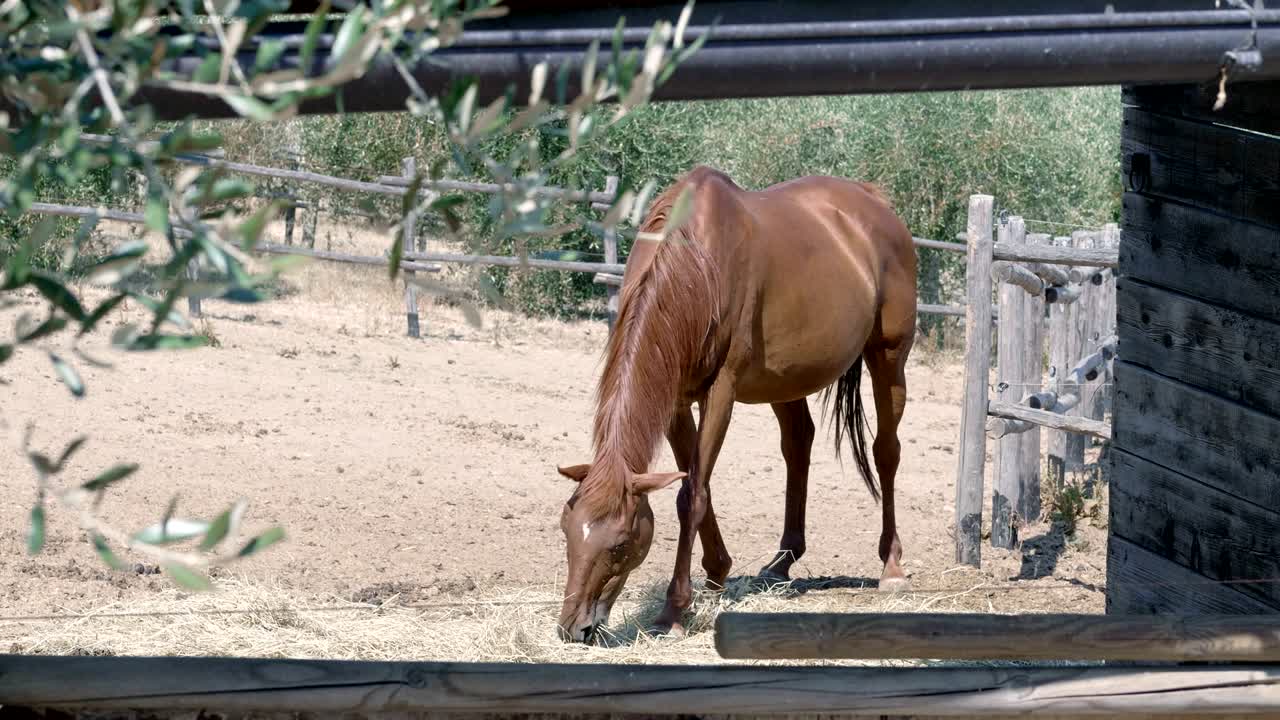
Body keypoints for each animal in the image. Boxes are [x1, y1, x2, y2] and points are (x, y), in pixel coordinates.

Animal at [554, 165, 917, 643]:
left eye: (620, 544)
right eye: (566, 531)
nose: (574, 628)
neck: (696, 264)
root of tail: (873, 201)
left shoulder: (721, 391)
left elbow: (691, 495)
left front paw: (673, 610)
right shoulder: (674, 397)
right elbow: (694, 482)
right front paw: (716, 573)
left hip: (889, 357)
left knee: (886, 452)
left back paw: (891, 566)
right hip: (787, 379)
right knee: (798, 443)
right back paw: (781, 562)